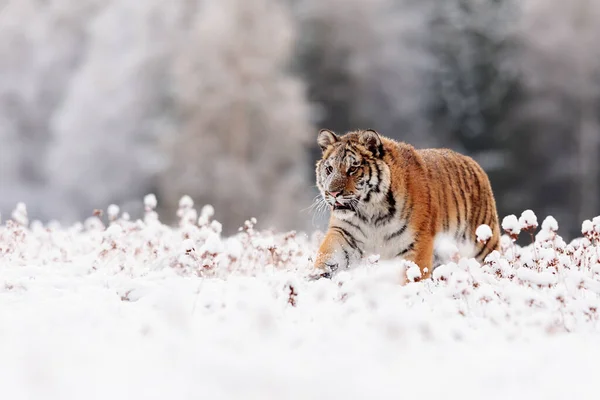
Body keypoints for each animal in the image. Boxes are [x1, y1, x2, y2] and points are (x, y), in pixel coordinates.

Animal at [314, 130, 502, 280]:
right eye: (329, 169)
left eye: (353, 168)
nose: (332, 193)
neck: (370, 212)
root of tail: (473, 162)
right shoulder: (345, 233)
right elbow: (327, 255)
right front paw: (317, 278)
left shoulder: (416, 242)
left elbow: (412, 275)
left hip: (482, 244)